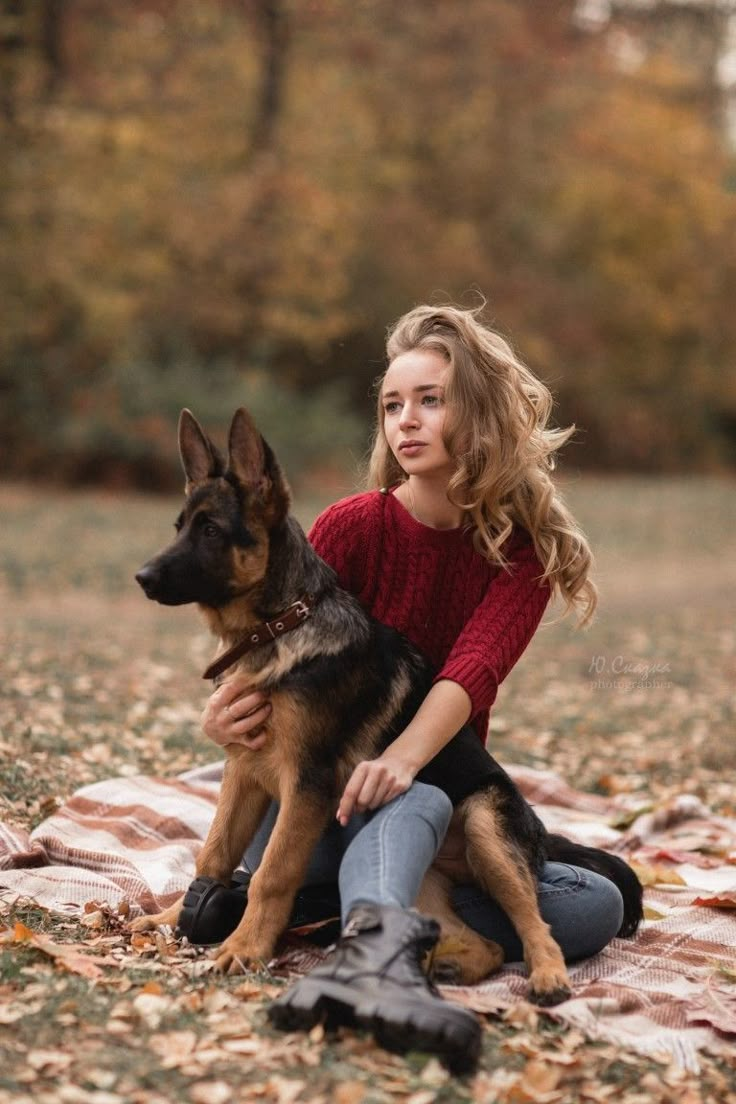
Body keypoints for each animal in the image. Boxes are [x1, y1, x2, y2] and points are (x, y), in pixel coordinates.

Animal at [132, 410, 644, 1006]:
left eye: (211, 530)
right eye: (180, 527)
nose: (142, 578)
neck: (281, 625)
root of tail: (539, 831)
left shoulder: (306, 784)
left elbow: (271, 874)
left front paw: (244, 948)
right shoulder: (244, 772)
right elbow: (211, 855)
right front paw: (174, 919)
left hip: (486, 831)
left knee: (535, 923)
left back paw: (546, 975)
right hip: (430, 881)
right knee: (488, 944)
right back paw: (441, 966)